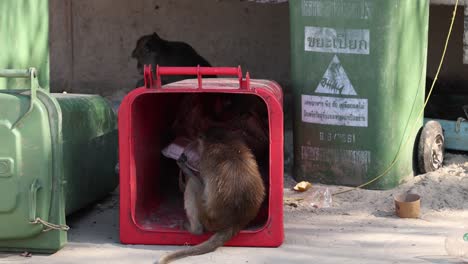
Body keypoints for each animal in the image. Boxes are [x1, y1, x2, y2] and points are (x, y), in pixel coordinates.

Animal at [157, 127, 266, 262]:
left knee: (192, 184)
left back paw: (195, 229)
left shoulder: (205, 159)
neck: (223, 141)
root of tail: (235, 222)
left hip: (206, 218)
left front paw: (183, 167)